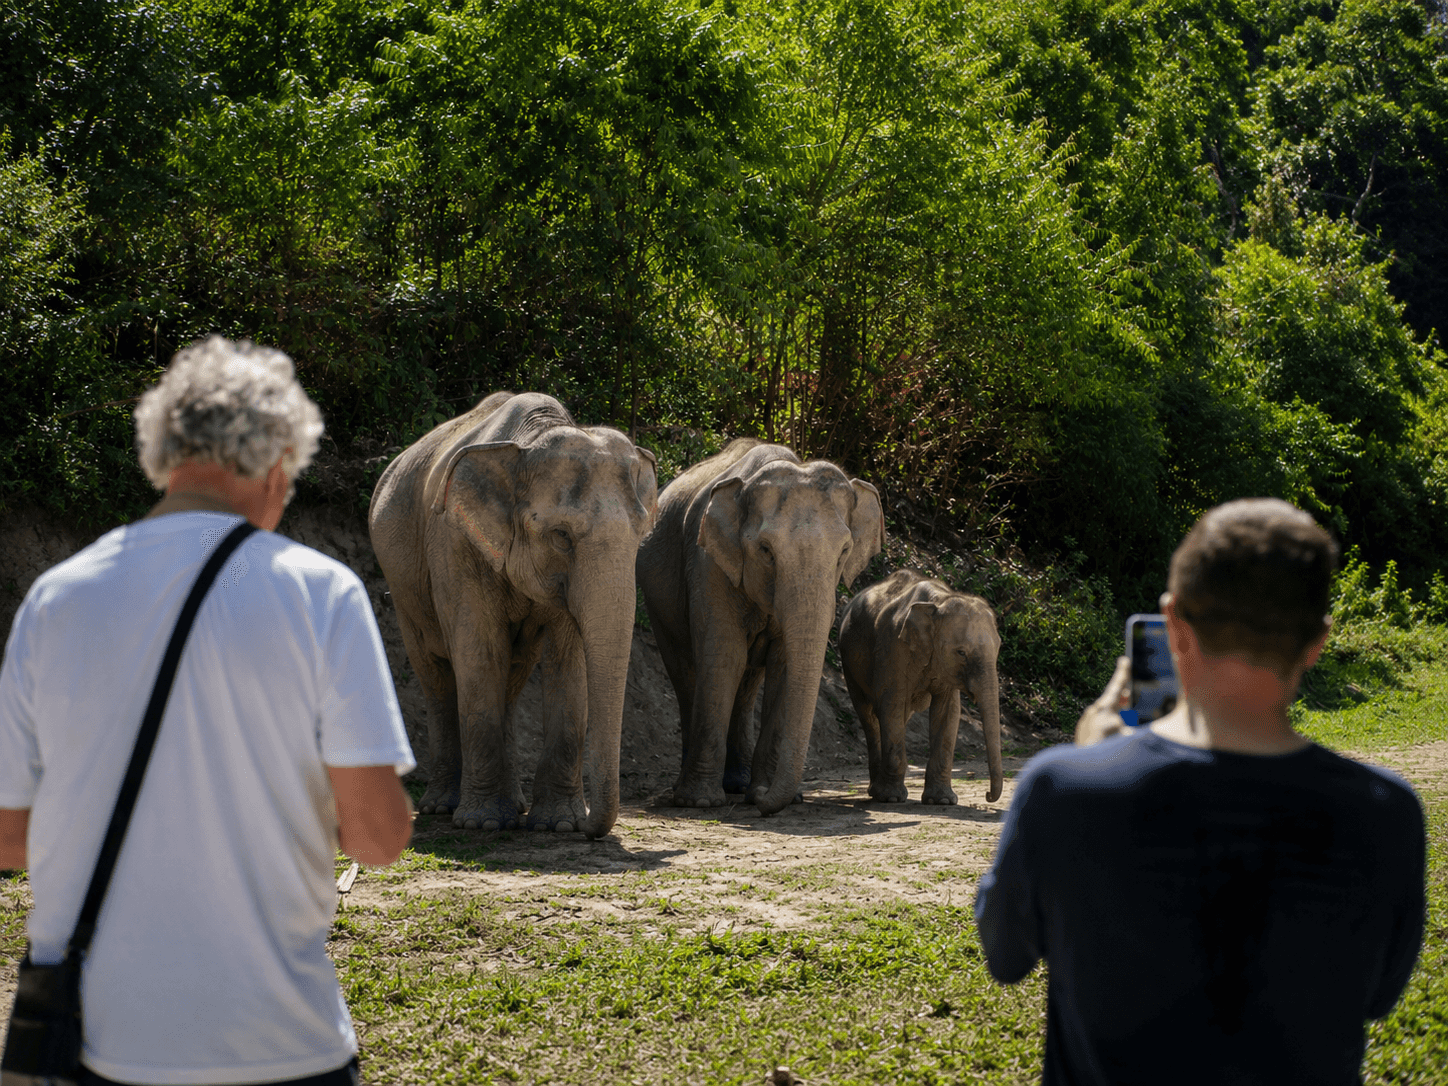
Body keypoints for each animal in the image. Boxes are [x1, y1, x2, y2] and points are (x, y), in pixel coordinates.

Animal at [368, 391, 657, 838]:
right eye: (560, 535)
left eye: (642, 535)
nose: (592, 828)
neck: (529, 440)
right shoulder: (456, 543)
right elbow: (480, 651)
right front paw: (482, 823)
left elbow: (568, 659)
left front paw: (559, 824)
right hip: (402, 588)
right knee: (435, 674)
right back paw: (443, 806)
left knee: (515, 671)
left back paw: (515, 806)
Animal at [637, 438, 885, 815]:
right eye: (766, 550)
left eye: (844, 551)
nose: (763, 801)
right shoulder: (707, 562)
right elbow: (724, 656)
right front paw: (700, 802)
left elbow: (783, 664)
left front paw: (769, 793)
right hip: (656, 600)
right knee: (686, 672)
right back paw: (690, 791)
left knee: (747, 683)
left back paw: (737, 785)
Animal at [838, 569, 1003, 804]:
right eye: (961, 652)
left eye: (998, 648)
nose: (988, 796)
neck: (939, 601)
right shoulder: (893, 647)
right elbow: (892, 703)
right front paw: (891, 798)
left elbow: (947, 712)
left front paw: (941, 801)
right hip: (849, 665)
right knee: (869, 715)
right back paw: (875, 792)